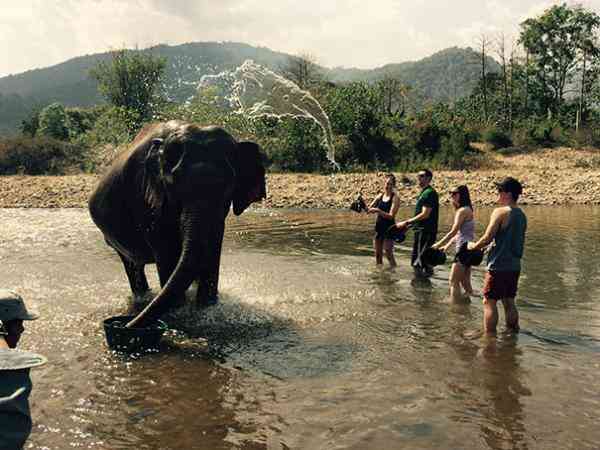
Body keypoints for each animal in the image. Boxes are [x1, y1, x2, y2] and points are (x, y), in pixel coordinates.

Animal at [88, 121, 266, 328]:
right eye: (174, 184)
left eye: (229, 184)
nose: (125, 326)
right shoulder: (147, 199)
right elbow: (166, 250)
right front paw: (179, 311)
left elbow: (211, 247)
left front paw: (206, 308)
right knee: (132, 266)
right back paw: (142, 298)